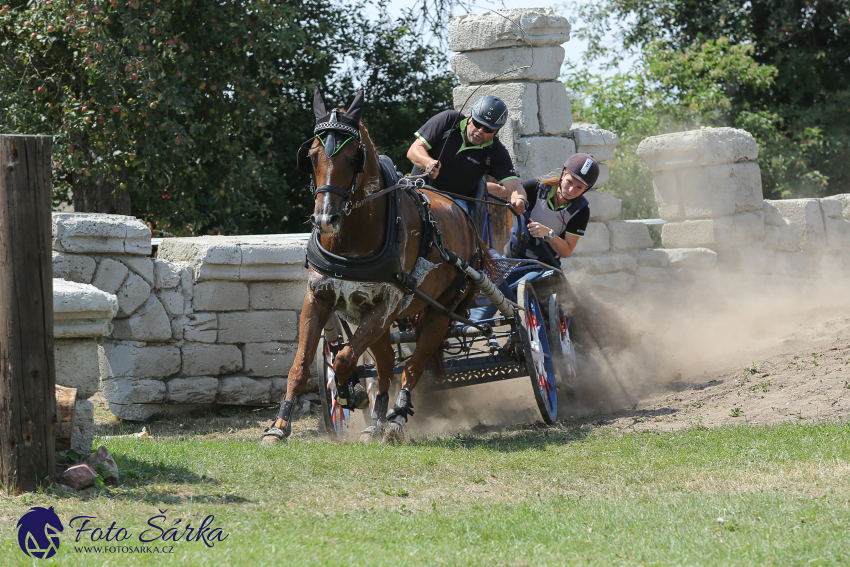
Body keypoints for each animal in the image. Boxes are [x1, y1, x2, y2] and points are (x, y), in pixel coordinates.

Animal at [258, 89, 484, 444]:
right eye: (311, 156)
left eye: (354, 158)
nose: (326, 219)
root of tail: (464, 216)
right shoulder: (319, 298)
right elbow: (302, 364)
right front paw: (279, 426)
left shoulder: (384, 304)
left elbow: (345, 357)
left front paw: (351, 394)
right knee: (387, 363)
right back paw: (376, 420)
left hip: (439, 311)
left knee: (411, 366)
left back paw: (395, 418)